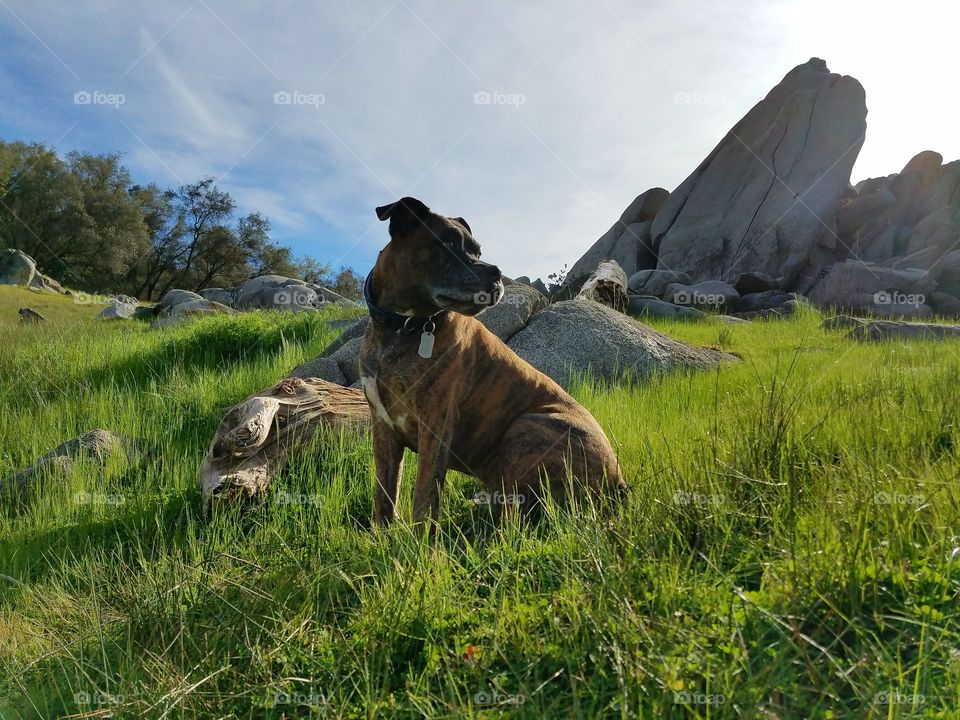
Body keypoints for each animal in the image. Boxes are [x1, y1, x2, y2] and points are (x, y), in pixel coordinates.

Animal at [358, 200, 624, 524]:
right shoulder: (383, 426)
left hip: (525, 429)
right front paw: (382, 533)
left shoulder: (435, 425)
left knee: (513, 519)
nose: (496, 272)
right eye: (447, 244)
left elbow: (424, 496)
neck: (403, 326)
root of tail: (618, 479)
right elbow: (385, 494)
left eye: (477, 250)